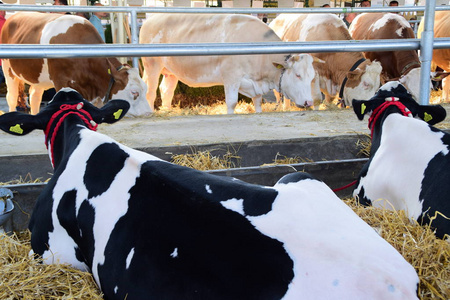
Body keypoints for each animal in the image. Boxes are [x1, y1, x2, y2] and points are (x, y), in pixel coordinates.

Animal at [0, 10, 151, 116]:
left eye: (145, 88)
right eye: (134, 92)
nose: (148, 112)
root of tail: (14, 15)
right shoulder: (61, 82)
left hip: (38, 77)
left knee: (34, 96)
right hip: (8, 69)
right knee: (12, 96)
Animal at [141, 12, 316, 114]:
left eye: (312, 77)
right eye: (298, 75)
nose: (309, 102)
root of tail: (151, 19)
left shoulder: (255, 84)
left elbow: (258, 102)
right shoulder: (231, 77)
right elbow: (231, 103)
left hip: (170, 70)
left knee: (166, 90)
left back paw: (167, 111)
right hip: (152, 65)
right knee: (150, 91)